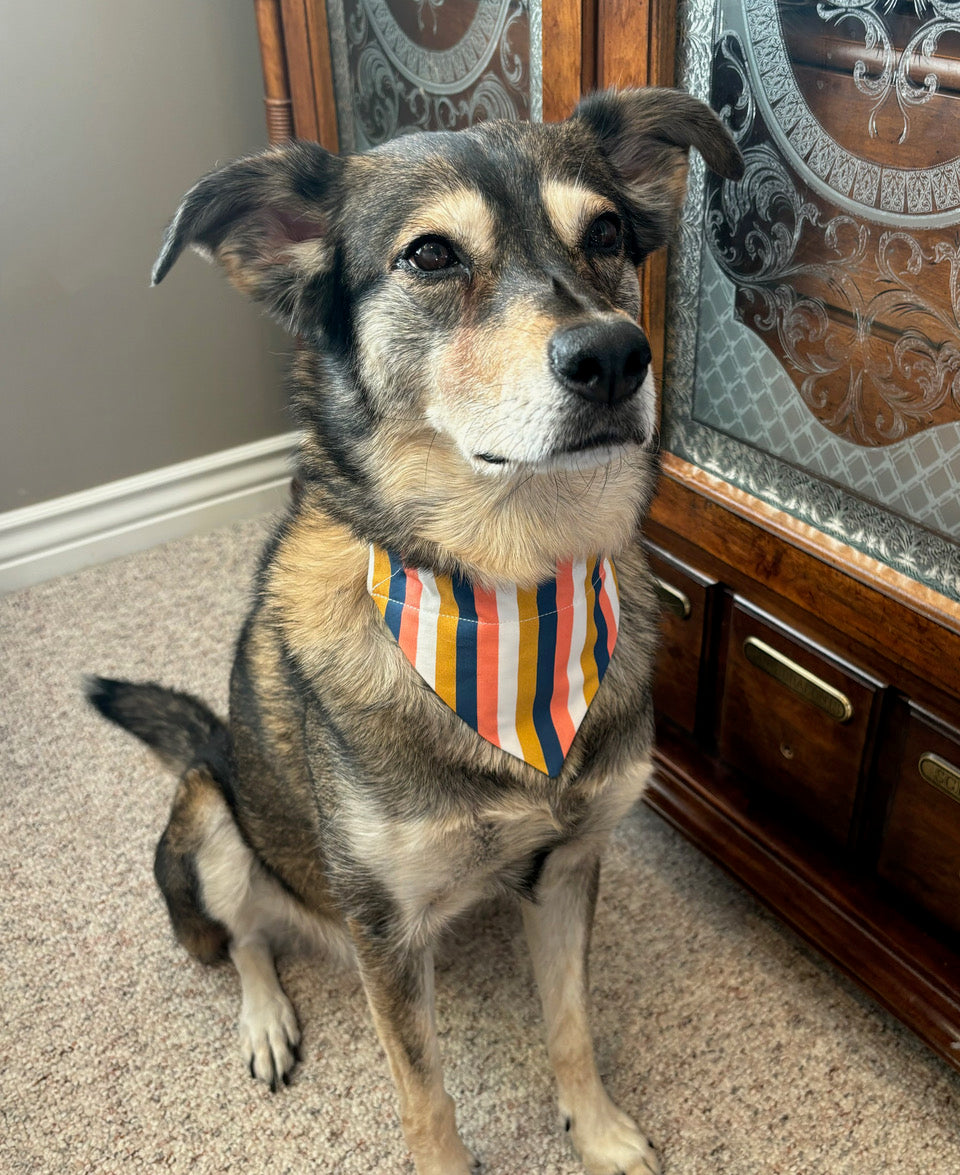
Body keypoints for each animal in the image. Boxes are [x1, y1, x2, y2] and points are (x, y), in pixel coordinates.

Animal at [86, 89, 737, 1175]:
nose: (614, 357)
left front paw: (597, 1127)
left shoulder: (569, 867)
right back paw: (266, 1020)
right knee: (248, 937)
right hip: (213, 815)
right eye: (430, 255)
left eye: (606, 233)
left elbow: (571, 1025)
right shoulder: (384, 925)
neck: (507, 586)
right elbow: (424, 1087)